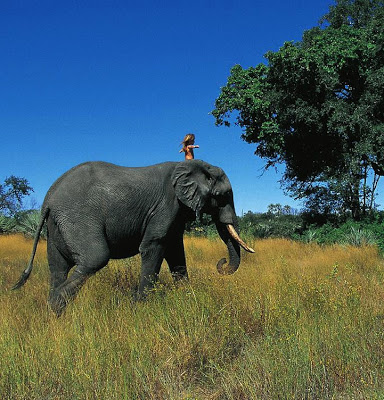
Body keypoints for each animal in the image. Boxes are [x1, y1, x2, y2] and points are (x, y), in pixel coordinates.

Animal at [12, 159, 254, 316]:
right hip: (76, 218)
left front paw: (187, 297)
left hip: (56, 226)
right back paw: (55, 307)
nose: (221, 263)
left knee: (58, 268)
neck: (195, 165)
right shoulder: (166, 205)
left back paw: (52, 313)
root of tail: (49, 198)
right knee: (94, 259)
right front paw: (140, 307)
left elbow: (175, 250)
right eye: (223, 196)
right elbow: (154, 246)